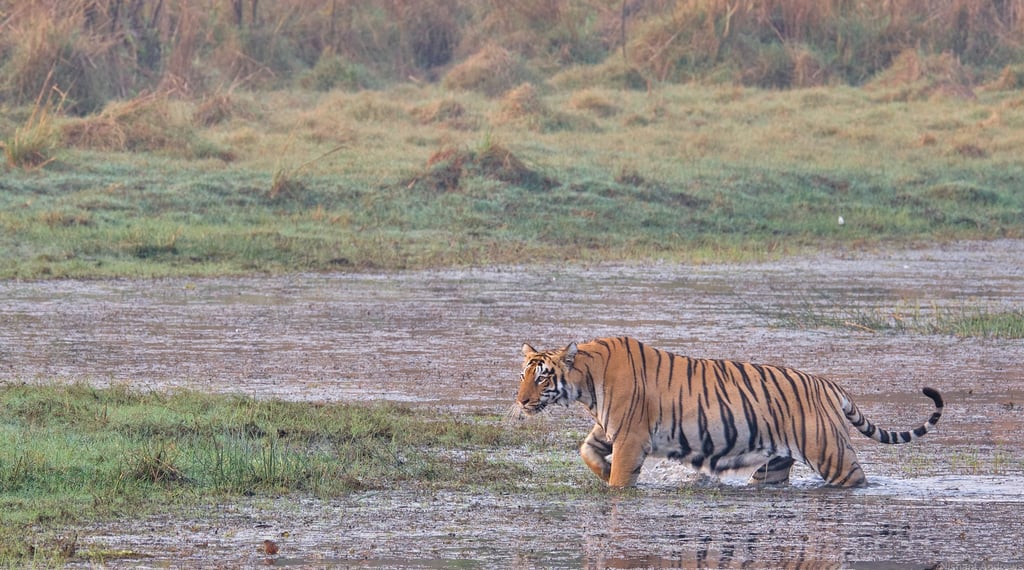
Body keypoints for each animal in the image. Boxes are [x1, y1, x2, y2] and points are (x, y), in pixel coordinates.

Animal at [513, 336, 943, 488]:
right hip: (774, 464)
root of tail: (828, 383)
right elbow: (587, 451)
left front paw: (615, 483)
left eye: (542, 378)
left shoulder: (631, 437)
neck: (586, 383)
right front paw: (602, 471)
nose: (520, 401)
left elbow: (619, 477)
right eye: (523, 375)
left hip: (830, 453)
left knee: (856, 478)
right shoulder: (610, 430)